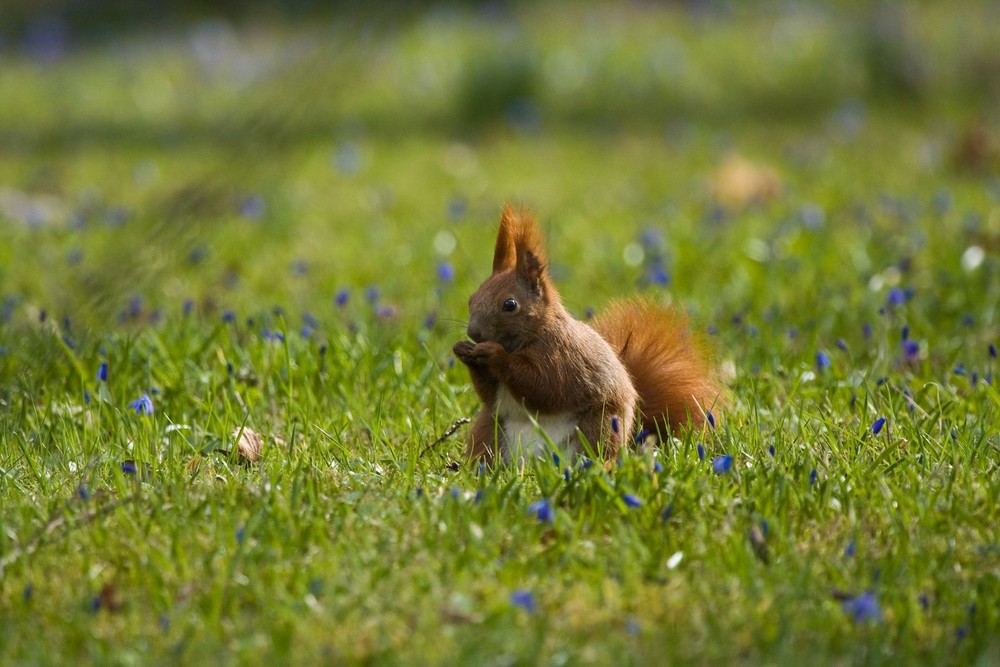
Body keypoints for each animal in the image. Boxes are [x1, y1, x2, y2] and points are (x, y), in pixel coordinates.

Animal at [454, 204, 720, 464]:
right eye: (472, 298)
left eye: (510, 305)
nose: (474, 332)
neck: (529, 338)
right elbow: (490, 395)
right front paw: (463, 351)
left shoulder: (564, 357)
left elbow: (542, 385)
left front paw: (494, 354)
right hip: (489, 429)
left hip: (600, 426)